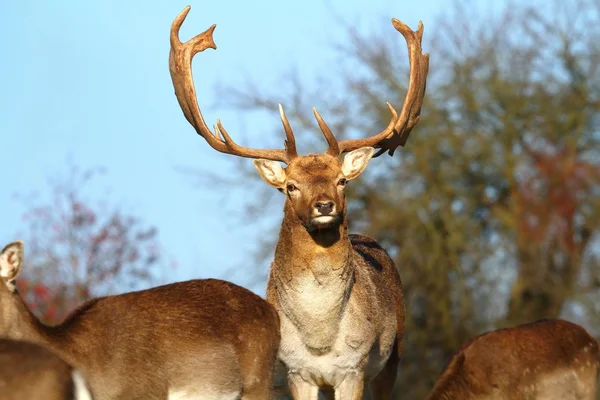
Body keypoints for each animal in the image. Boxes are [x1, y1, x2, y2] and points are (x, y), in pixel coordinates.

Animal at [169, 4, 428, 398]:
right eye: (291, 186)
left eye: (341, 181)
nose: (324, 205)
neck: (319, 339)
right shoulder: (297, 371)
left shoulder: (354, 368)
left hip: (392, 357)